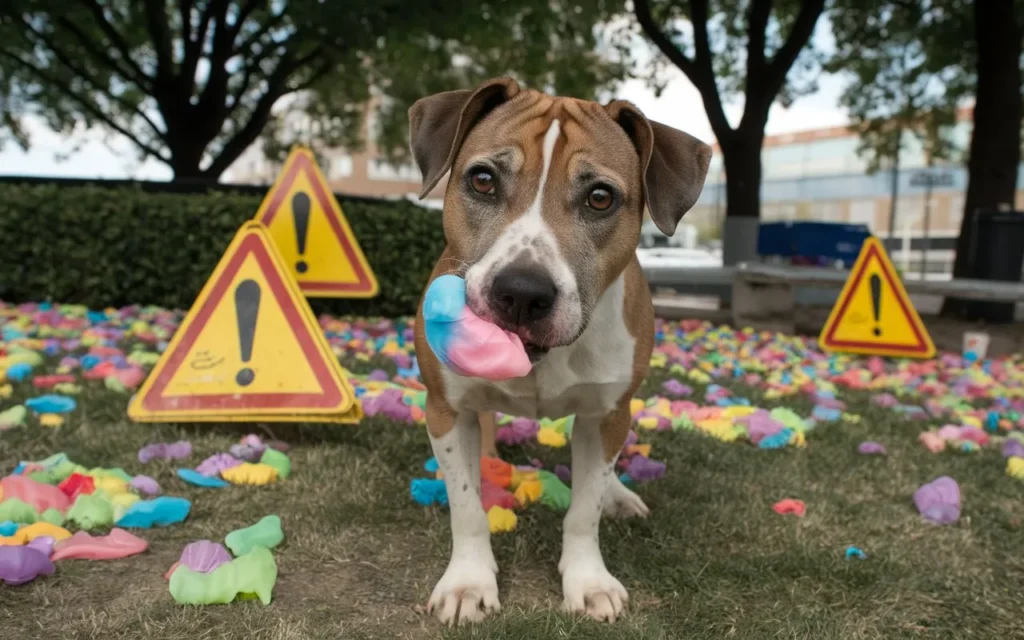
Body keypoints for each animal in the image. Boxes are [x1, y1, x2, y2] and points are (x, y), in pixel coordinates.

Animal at [407, 78, 712, 622]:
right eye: (482, 180)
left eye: (600, 197)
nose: (522, 291)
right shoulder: (447, 409)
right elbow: (466, 507)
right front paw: (468, 581)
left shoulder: (606, 415)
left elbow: (585, 508)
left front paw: (588, 581)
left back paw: (619, 495)